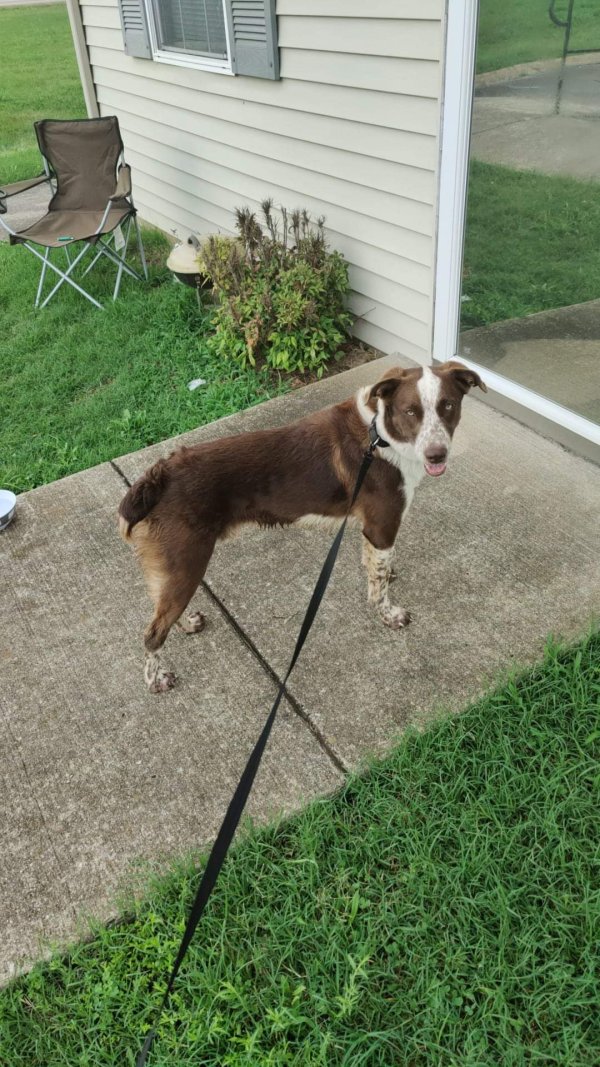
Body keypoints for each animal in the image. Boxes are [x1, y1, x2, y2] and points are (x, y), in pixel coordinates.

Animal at [119, 360, 482, 691]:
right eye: (410, 411)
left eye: (448, 406)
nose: (437, 455)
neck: (381, 437)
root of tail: (157, 477)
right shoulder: (382, 525)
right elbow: (379, 587)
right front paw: (389, 614)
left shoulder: (371, 530)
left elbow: (375, 568)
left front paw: (385, 575)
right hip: (187, 562)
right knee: (153, 633)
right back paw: (155, 679)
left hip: (175, 568)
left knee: (161, 609)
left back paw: (186, 624)